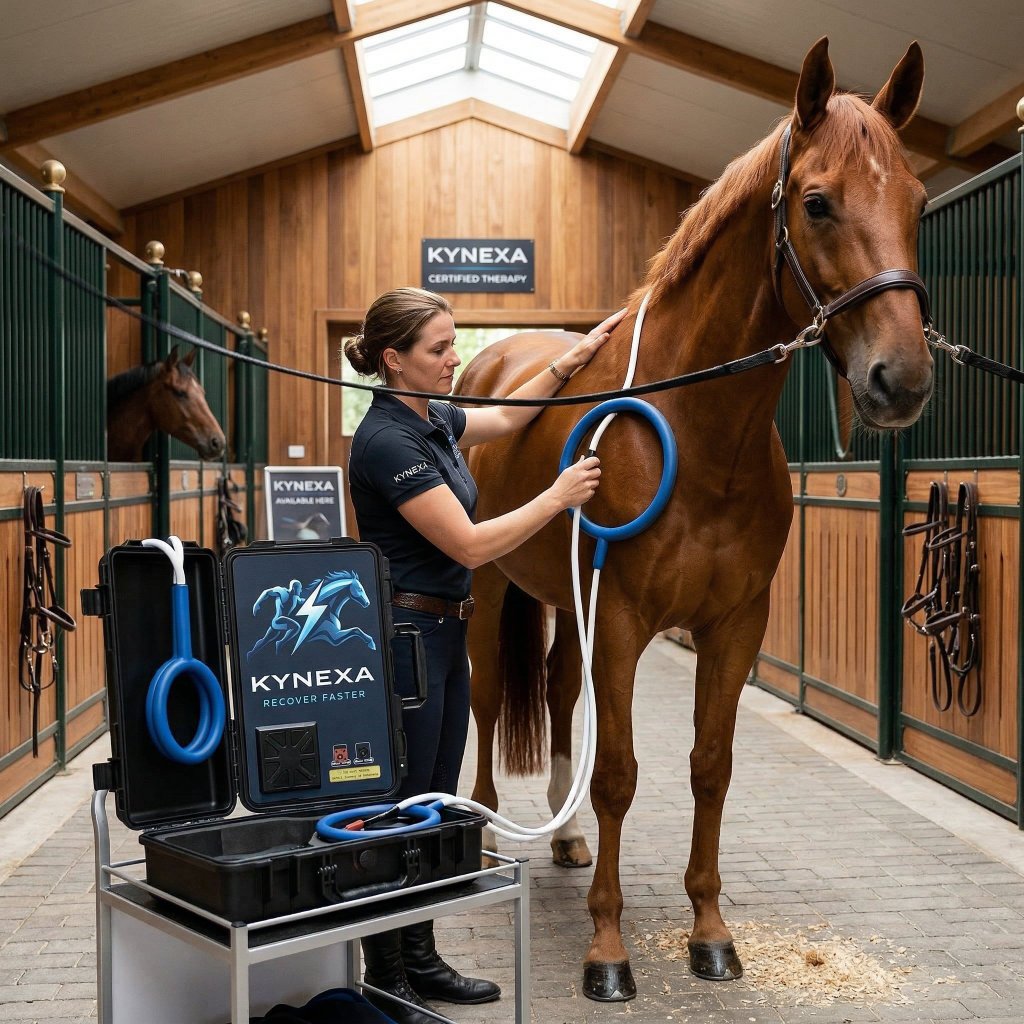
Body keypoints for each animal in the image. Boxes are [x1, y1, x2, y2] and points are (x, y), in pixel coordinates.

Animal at [457, 38, 933, 1001]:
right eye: (817, 202)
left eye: (919, 202)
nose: (900, 380)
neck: (699, 434)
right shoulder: (624, 620)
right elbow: (619, 774)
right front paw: (608, 949)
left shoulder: (734, 625)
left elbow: (710, 769)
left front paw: (711, 933)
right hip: (490, 587)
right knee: (488, 700)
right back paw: (489, 826)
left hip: (566, 599)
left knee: (557, 693)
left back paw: (564, 837)